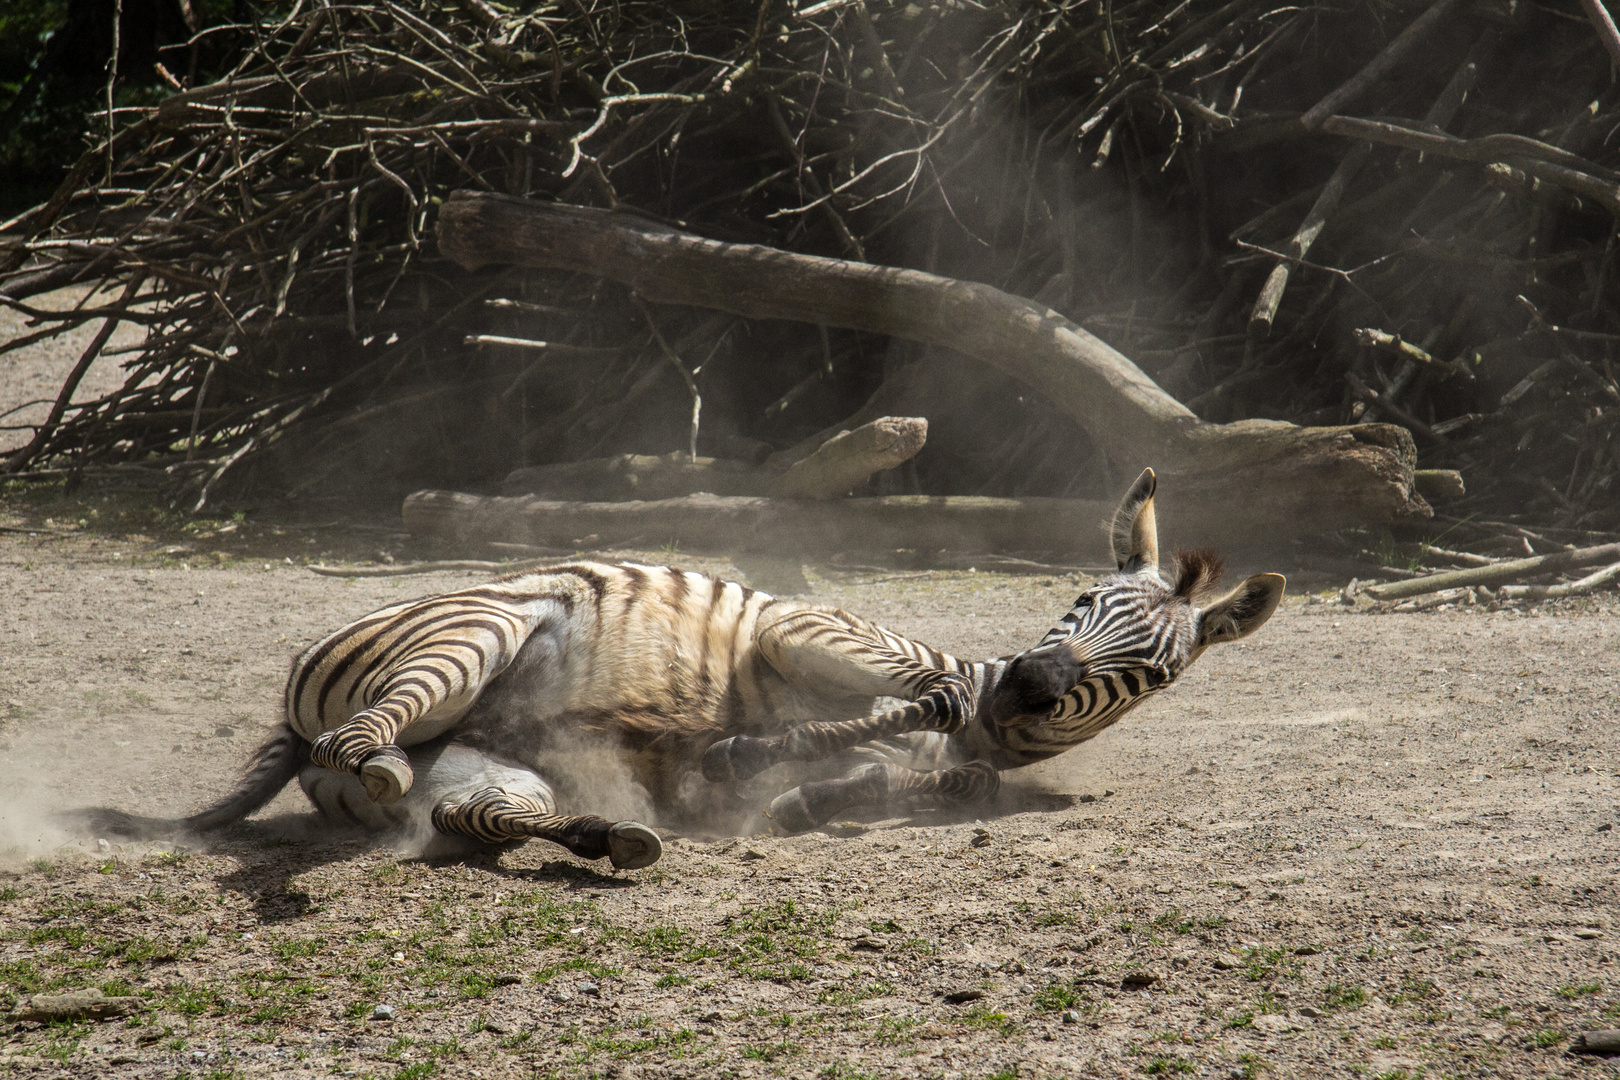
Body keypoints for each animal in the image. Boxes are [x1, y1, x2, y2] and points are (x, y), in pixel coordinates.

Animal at [82, 469, 1283, 874]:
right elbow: (895, 694)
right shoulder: (803, 628)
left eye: (1152, 673)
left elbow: (926, 773)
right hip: (471, 635)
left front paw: (806, 784)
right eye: (1081, 603)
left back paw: (606, 837)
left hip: (485, 767)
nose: (1026, 688)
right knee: (363, 738)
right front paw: (785, 749)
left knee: (475, 818)